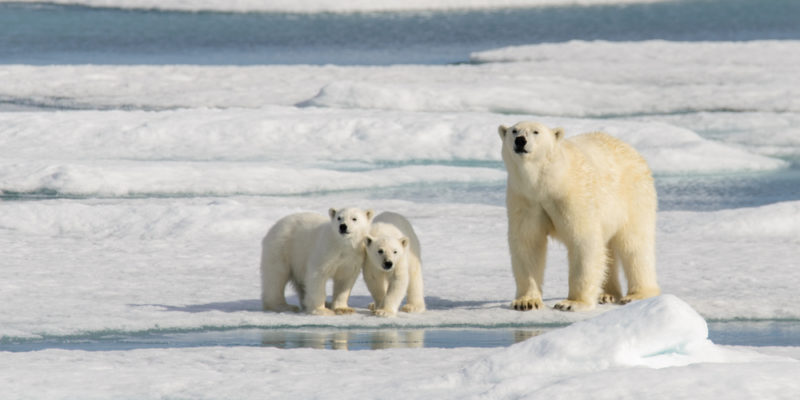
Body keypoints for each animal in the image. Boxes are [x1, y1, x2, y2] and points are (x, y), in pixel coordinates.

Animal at [496, 122, 660, 312]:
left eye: (536, 132)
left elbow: (583, 241)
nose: (520, 140)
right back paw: (606, 294)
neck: (547, 182)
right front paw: (526, 302)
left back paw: (637, 295)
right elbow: (527, 243)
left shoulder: (573, 195)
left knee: (635, 245)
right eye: (514, 131)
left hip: (634, 196)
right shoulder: (525, 200)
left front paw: (571, 303)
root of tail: (633, 151)